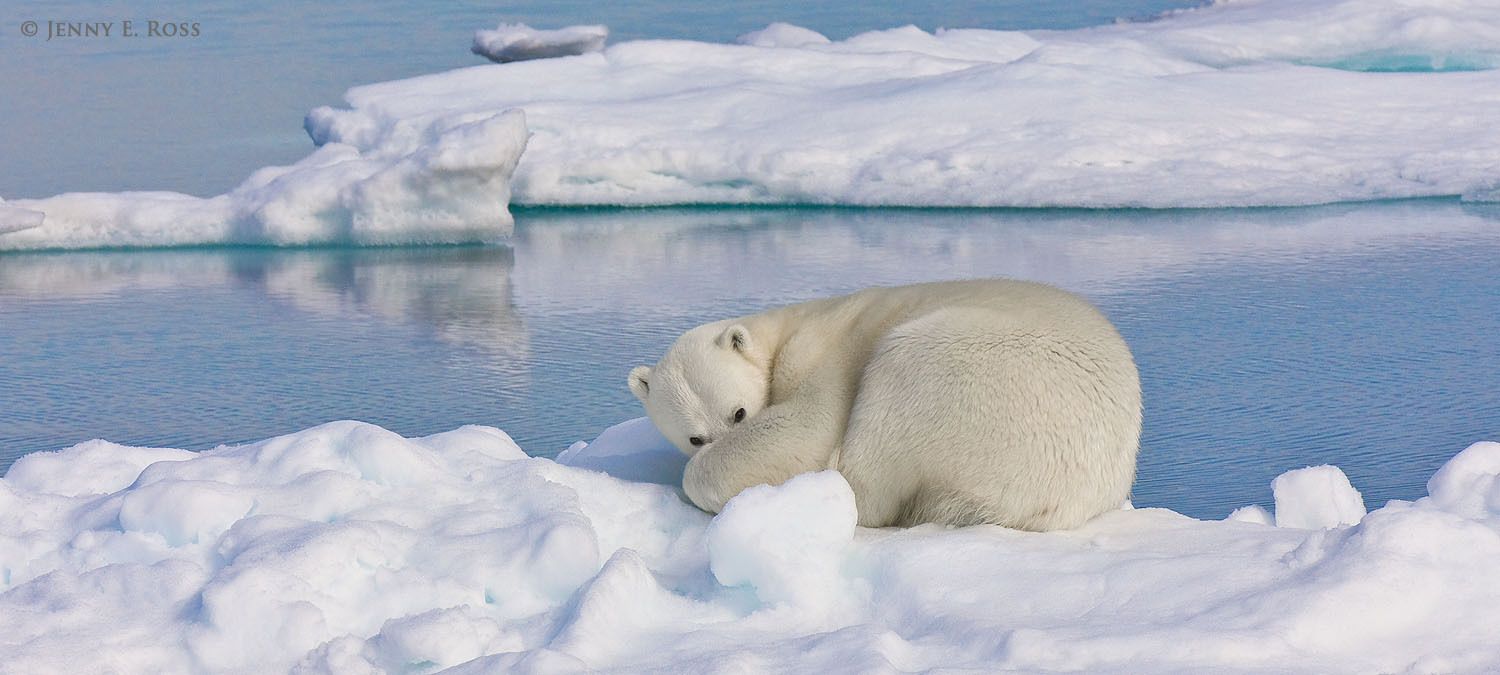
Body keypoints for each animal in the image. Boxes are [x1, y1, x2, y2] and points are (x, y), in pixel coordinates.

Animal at [628, 279, 1142, 531]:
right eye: (695, 436)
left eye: (739, 413)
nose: (718, 442)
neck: (783, 330)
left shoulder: (820, 354)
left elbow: (809, 426)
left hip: (965, 367)